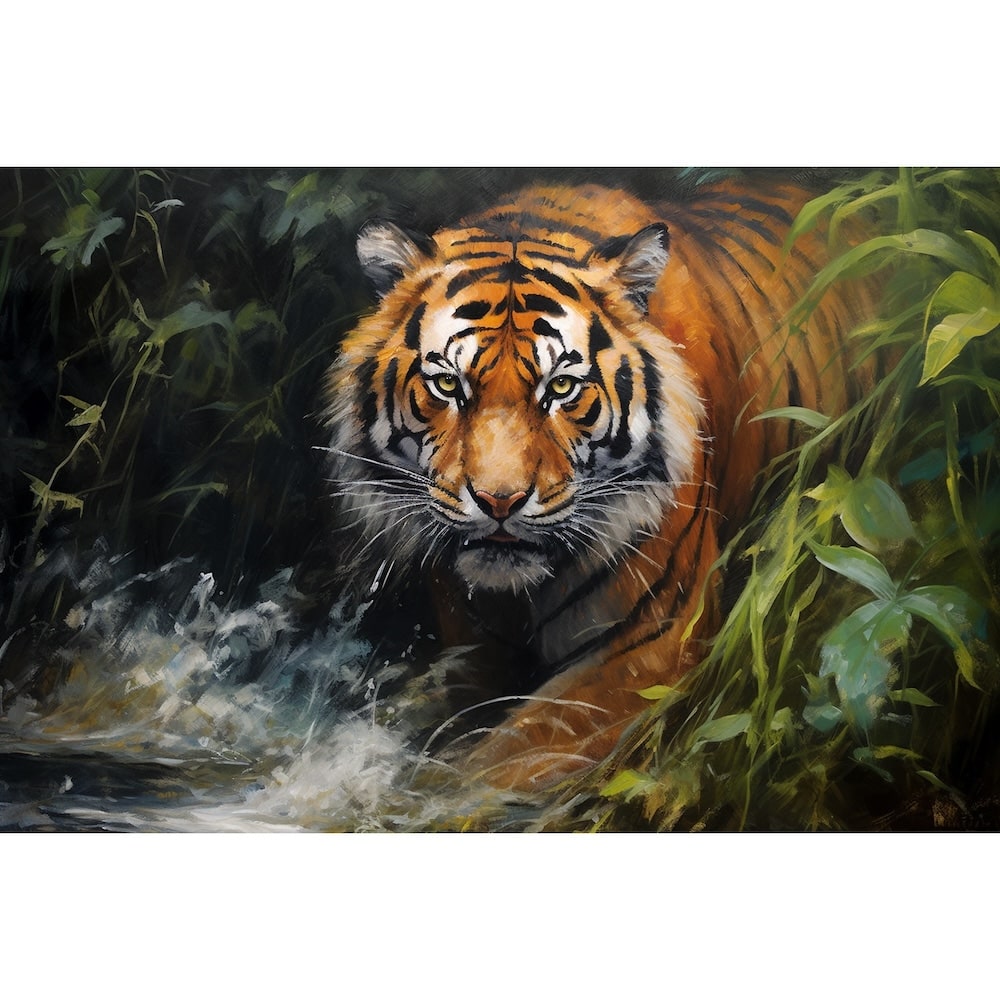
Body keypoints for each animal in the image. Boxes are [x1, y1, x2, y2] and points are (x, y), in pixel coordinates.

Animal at [323, 176, 880, 792]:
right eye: (448, 385)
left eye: (561, 387)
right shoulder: (468, 648)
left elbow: (489, 766)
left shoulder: (646, 647)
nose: (499, 501)